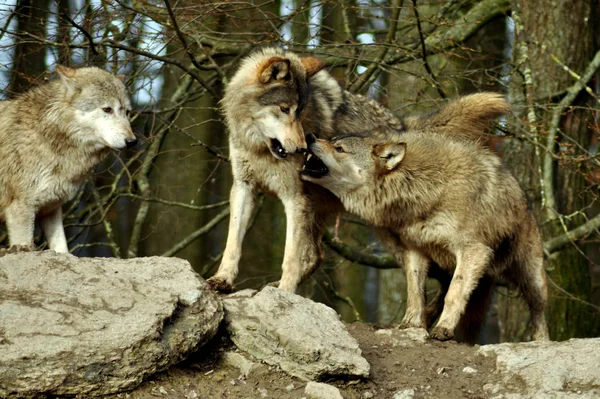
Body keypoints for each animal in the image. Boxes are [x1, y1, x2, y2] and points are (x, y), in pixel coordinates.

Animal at [0, 65, 136, 253]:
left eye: (127, 113)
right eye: (107, 109)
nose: (132, 141)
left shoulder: (51, 208)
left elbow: (62, 249)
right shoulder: (19, 208)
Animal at [302, 108, 552, 342]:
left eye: (339, 148)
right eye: (332, 141)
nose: (310, 136)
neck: (423, 187)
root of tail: (525, 199)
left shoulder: (474, 251)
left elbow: (455, 293)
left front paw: (443, 330)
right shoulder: (415, 250)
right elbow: (414, 292)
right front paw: (410, 324)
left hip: (531, 276)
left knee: (538, 309)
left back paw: (541, 341)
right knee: (440, 298)